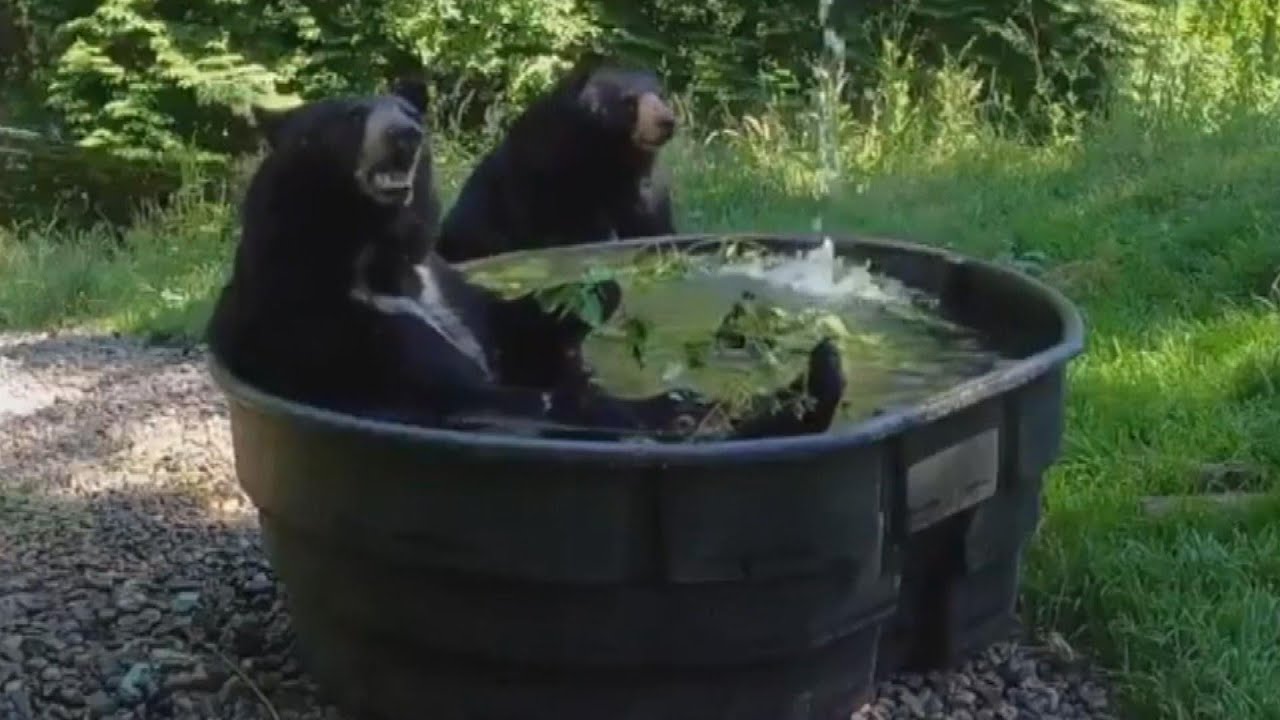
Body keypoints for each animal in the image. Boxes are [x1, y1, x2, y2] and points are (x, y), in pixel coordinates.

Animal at [205, 78, 847, 441]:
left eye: (406, 111)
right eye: (353, 115)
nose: (409, 132)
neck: (371, 252)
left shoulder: (436, 279)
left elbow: (511, 327)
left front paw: (597, 290)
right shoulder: (330, 322)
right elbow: (453, 382)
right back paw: (803, 390)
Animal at [434, 53, 678, 265]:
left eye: (661, 95)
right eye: (629, 100)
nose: (666, 121)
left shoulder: (631, 180)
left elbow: (646, 216)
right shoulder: (544, 174)